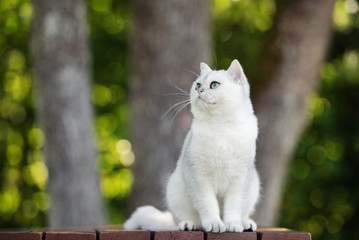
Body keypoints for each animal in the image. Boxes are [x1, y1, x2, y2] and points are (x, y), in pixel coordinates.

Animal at [125, 59, 260, 232]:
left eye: (214, 85)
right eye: (197, 85)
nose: (200, 90)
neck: (220, 126)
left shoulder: (240, 178)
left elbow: (233, 207)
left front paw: (232, 224)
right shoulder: (198, 176)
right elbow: (208, 205)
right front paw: (214, 224)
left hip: (253, 188)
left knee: (243, 213)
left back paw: (245, 223)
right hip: (175, 190)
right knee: (185, 219)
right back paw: (189, 224)